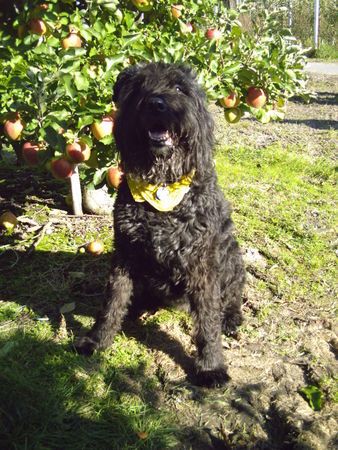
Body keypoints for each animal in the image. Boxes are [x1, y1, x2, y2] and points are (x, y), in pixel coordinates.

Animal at [76, 63, 246, 386]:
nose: (157, 104)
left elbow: (208, 320)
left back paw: (230, 318)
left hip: (232, 261)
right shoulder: (125, 253)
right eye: (140, 87)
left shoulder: (202, 264)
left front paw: (211, 366)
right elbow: (112, 301)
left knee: (233, 297)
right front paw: (97, 340)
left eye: (179, 88)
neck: (162, 184)